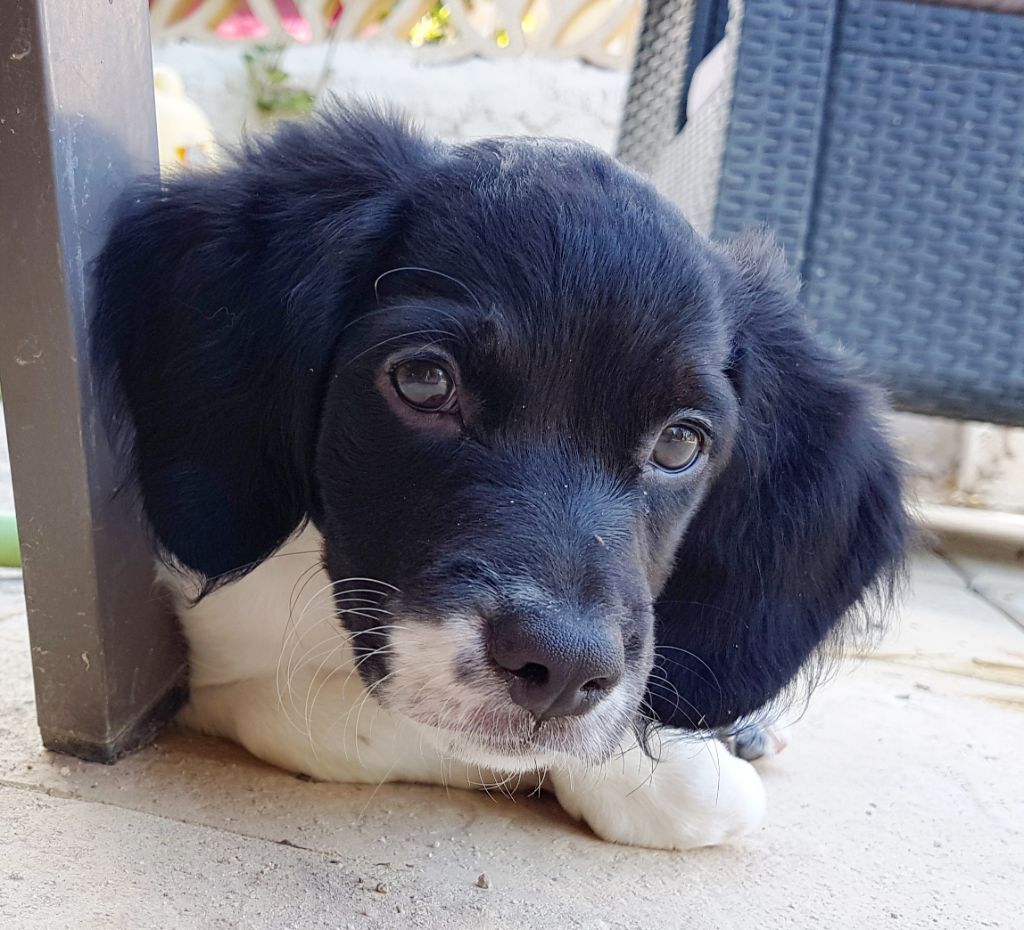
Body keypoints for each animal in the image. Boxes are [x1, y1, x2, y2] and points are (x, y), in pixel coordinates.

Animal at [92, 107, 909, 848]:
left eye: (680, 443)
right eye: (424, 381)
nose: (565, 667)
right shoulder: (215, 676)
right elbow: (369, 727)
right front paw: (658, 773)